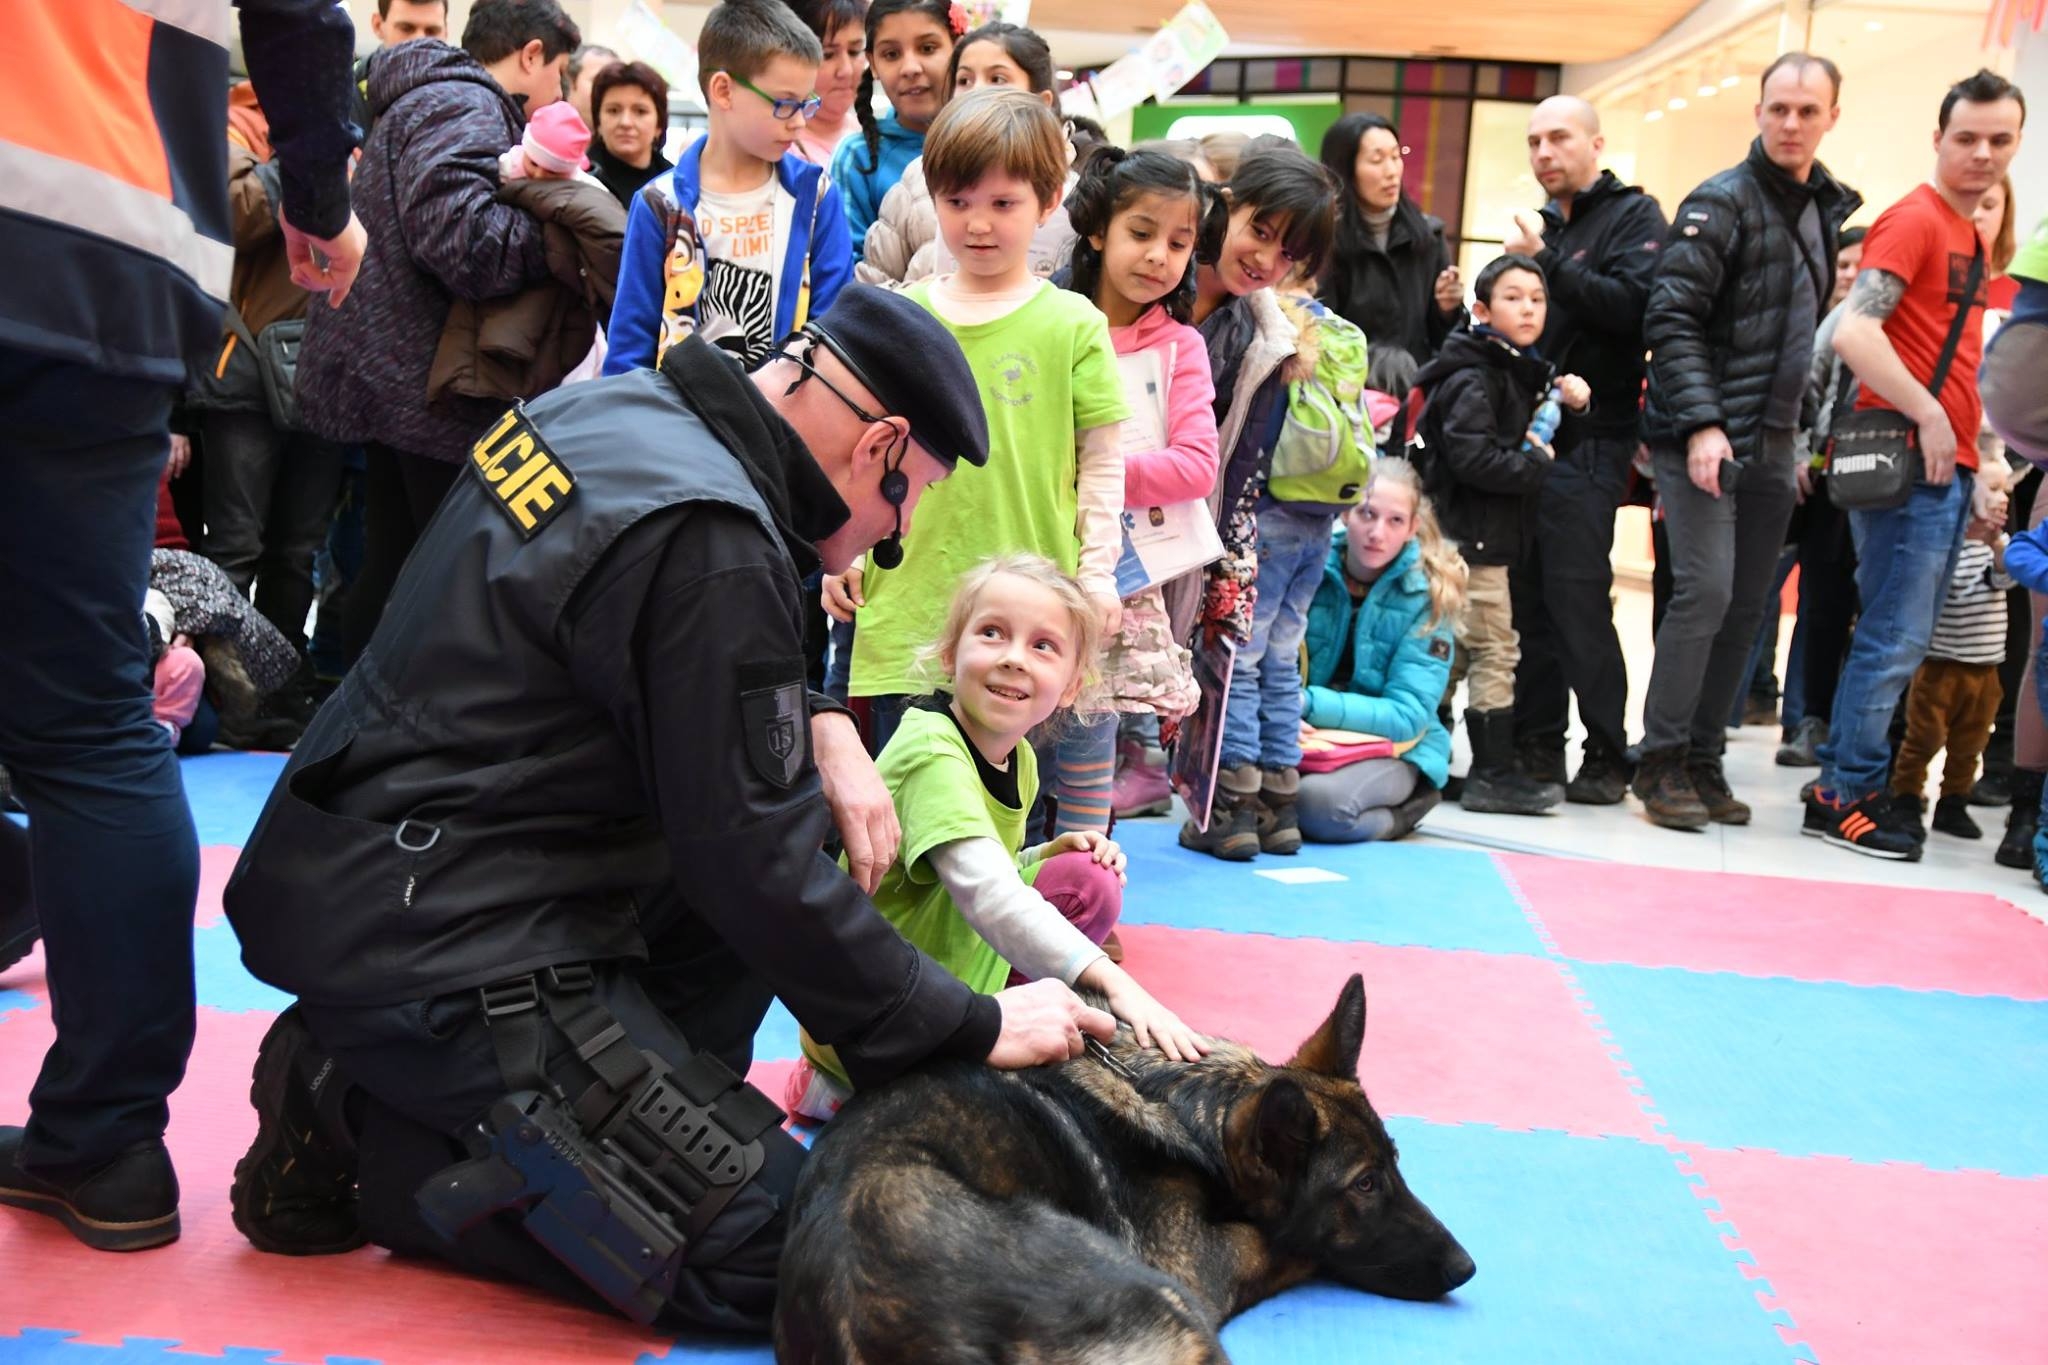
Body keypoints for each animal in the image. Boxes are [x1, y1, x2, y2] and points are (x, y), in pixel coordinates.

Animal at [770, 978, 1474, 1358]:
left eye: (1395, 1165)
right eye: (1364, 1185)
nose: (1465, 1267)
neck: (1188, 1103)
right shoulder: (1199, 1265)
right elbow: (1282, 1243)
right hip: (1171, 1301)